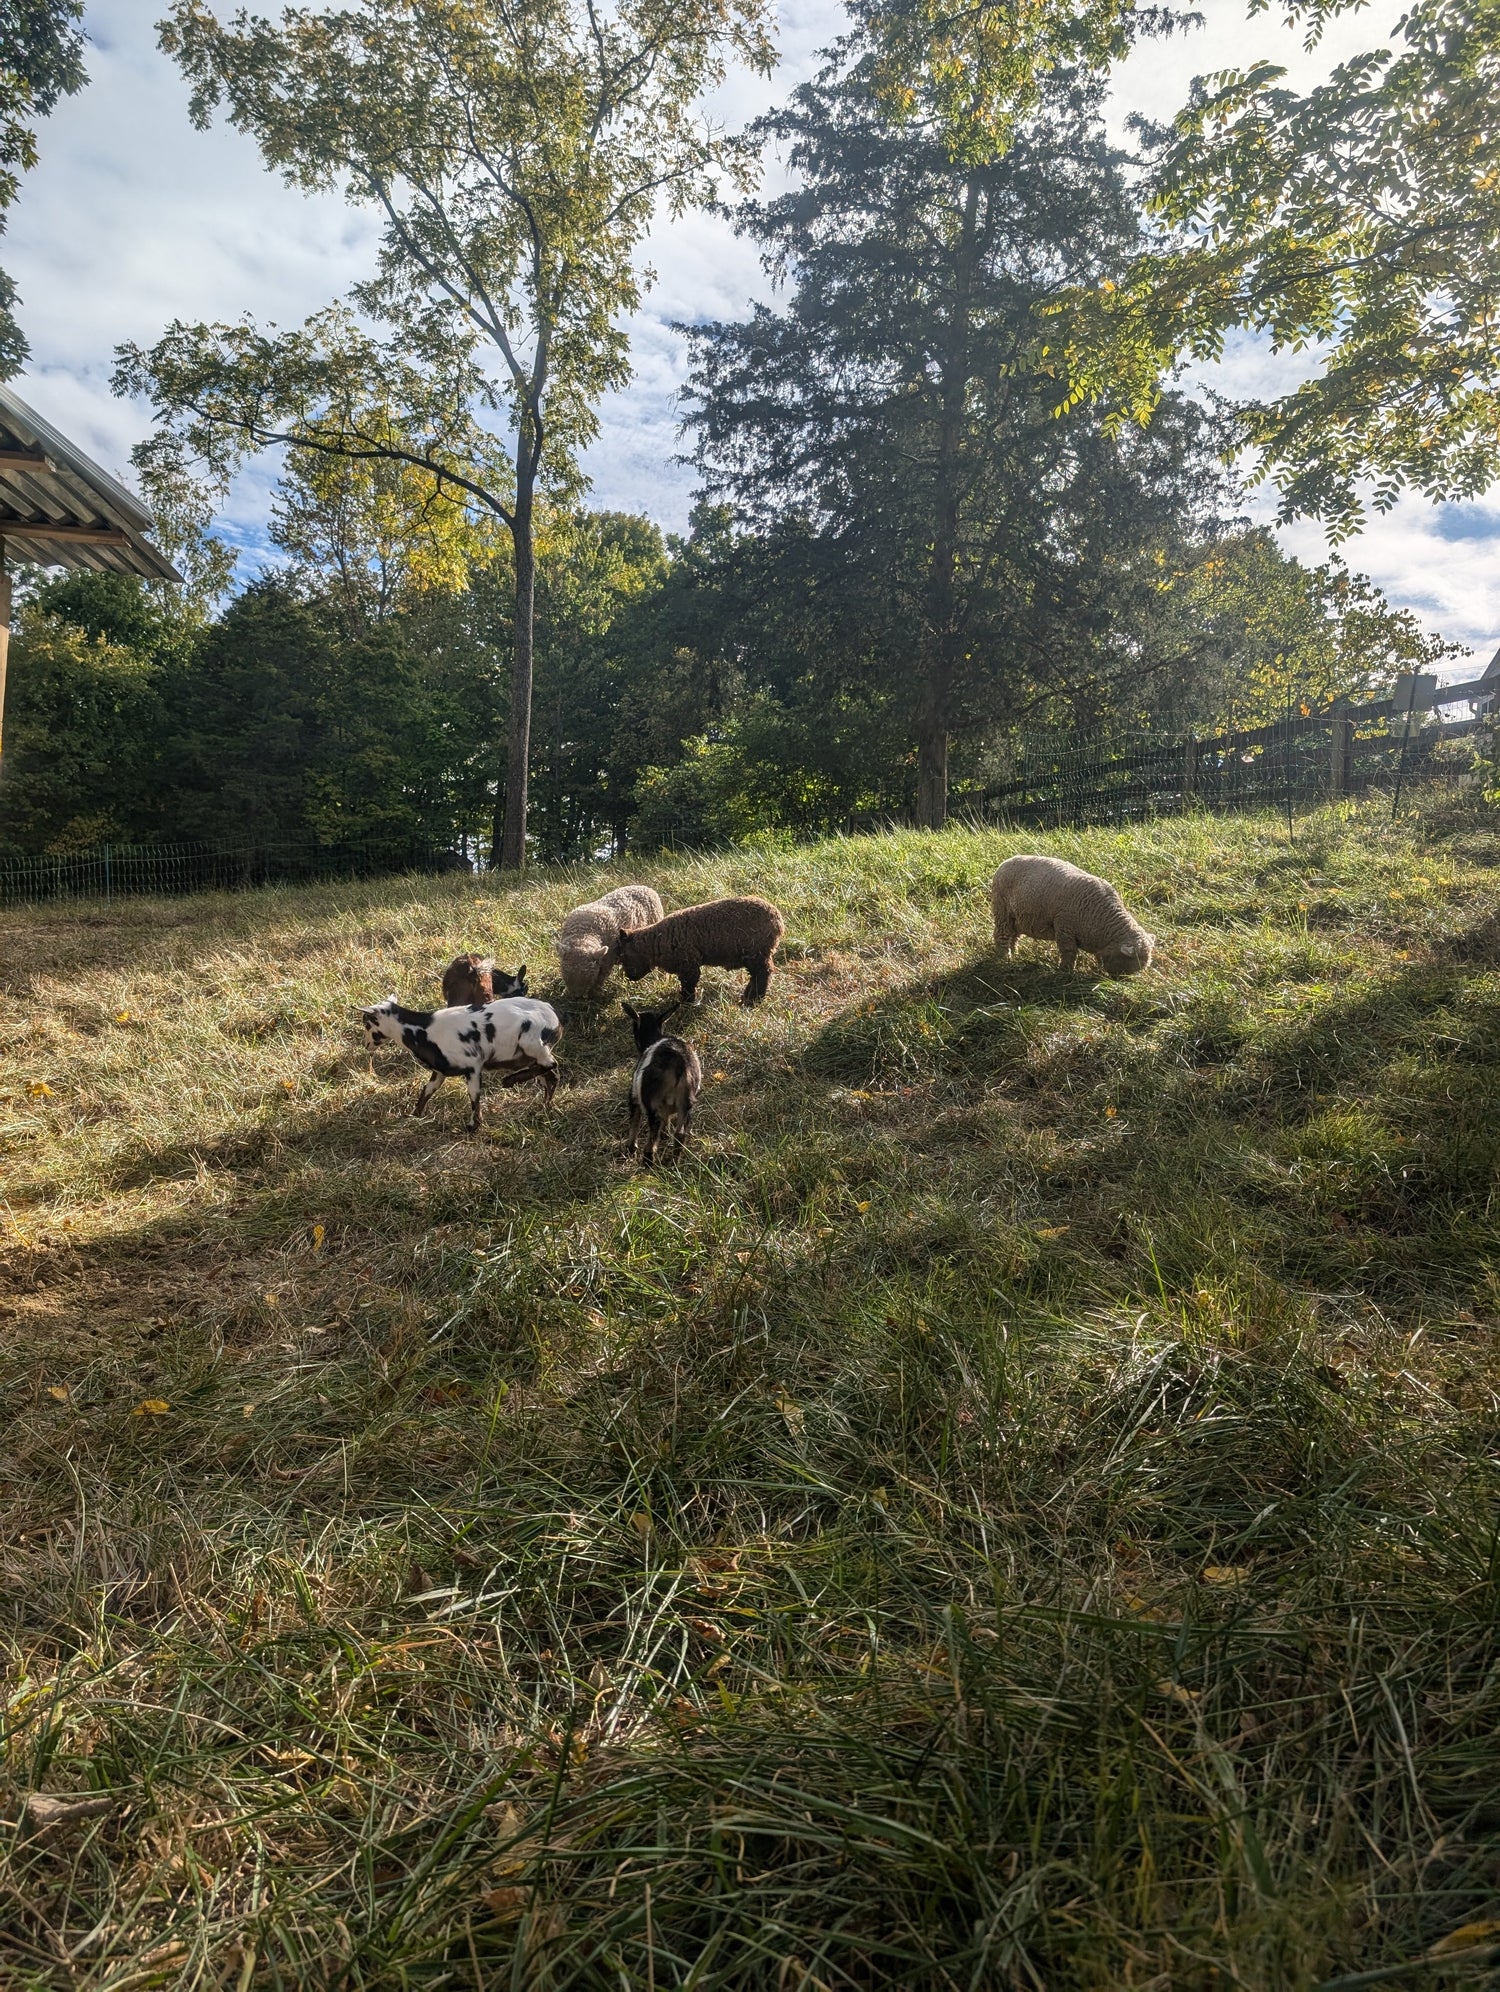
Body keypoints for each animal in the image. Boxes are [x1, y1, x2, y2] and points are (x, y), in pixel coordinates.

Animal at [361, 995, 562, 1128]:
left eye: (367, 1023)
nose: (366, 1045)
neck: (424, 1030)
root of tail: (553, 1015)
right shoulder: (440, 1071)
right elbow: (427, 1089)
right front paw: (414, 1115)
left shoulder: (473, 1066)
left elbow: (474, 1096)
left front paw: (473, 1126)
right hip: (530, 1057)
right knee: (551, 1076)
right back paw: (544, 1107)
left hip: (532, 1043)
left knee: (551, 1066)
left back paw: (509, 1081)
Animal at [617, 895, 785, 1006]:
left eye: (624, 955)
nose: (630, 977)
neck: (656, 942)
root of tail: (778, 920)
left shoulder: (689, 964)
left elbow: (688, 985)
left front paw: (686, 1002)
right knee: (756, 975)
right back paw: (747, 997)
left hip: (756, 952)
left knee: (763, 973)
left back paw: (754, 1000)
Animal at [623, 1001, 703, 1164]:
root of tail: (679, 1065)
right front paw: (666, 1133)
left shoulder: (634, 1095)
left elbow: (634, 1121)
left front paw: (631, 1148)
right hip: (686, 1103)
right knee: (680, 1134)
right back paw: (674, 1162)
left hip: (651, 1102)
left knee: (653, 1135)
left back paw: (647, 1161)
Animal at [990, 854, 1155, 977]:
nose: (1117, 981)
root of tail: (1005, 862)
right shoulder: (1064, 927)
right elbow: (1068, 951)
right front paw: (1066, 971)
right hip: (1002, 910)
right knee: (1002, 934)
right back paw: (1005, 958)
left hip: (1018, 918)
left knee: (1013, 936)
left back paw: (1013, 954)